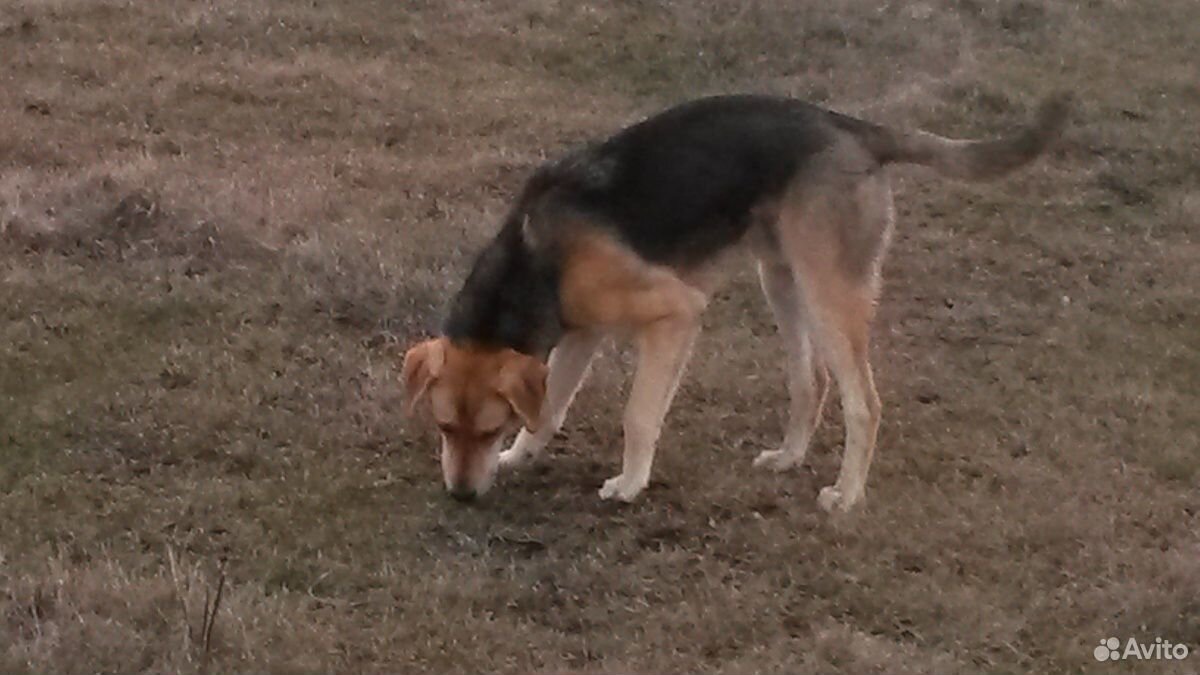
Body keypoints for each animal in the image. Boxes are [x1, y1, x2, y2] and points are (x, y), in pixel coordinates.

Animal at [405, 91, 1070, 506]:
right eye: (444, 427)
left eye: (488, 429)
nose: (461, 496)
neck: (533, 254)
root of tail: (853, 128)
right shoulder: (579, 332)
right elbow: (553, 406)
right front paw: (525, 456)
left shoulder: (674, 314)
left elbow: (639, 415)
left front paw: (629, 484)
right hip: (781, 279)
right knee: (811, 382)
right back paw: (789, 457)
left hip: (829, 292)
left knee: (864, 403)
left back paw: (846, 496)